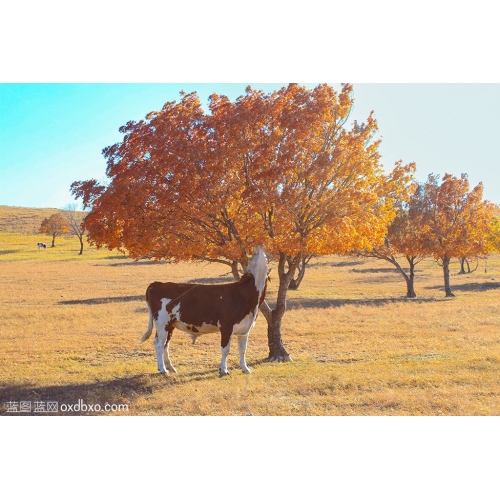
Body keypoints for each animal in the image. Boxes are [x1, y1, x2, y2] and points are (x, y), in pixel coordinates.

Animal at [137, 246, 270, 376]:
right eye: (253, 256)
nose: (258, 247)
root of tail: (156, 284)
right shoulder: (226, 326)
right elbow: (225, 350)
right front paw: (224, 370)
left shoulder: (245, 328)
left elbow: (242, 350)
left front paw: (245, 368)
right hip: (162, 322)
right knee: (159, 343)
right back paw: (163, 369)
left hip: (170, 325)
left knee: (166, 344)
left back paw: (170, 367)